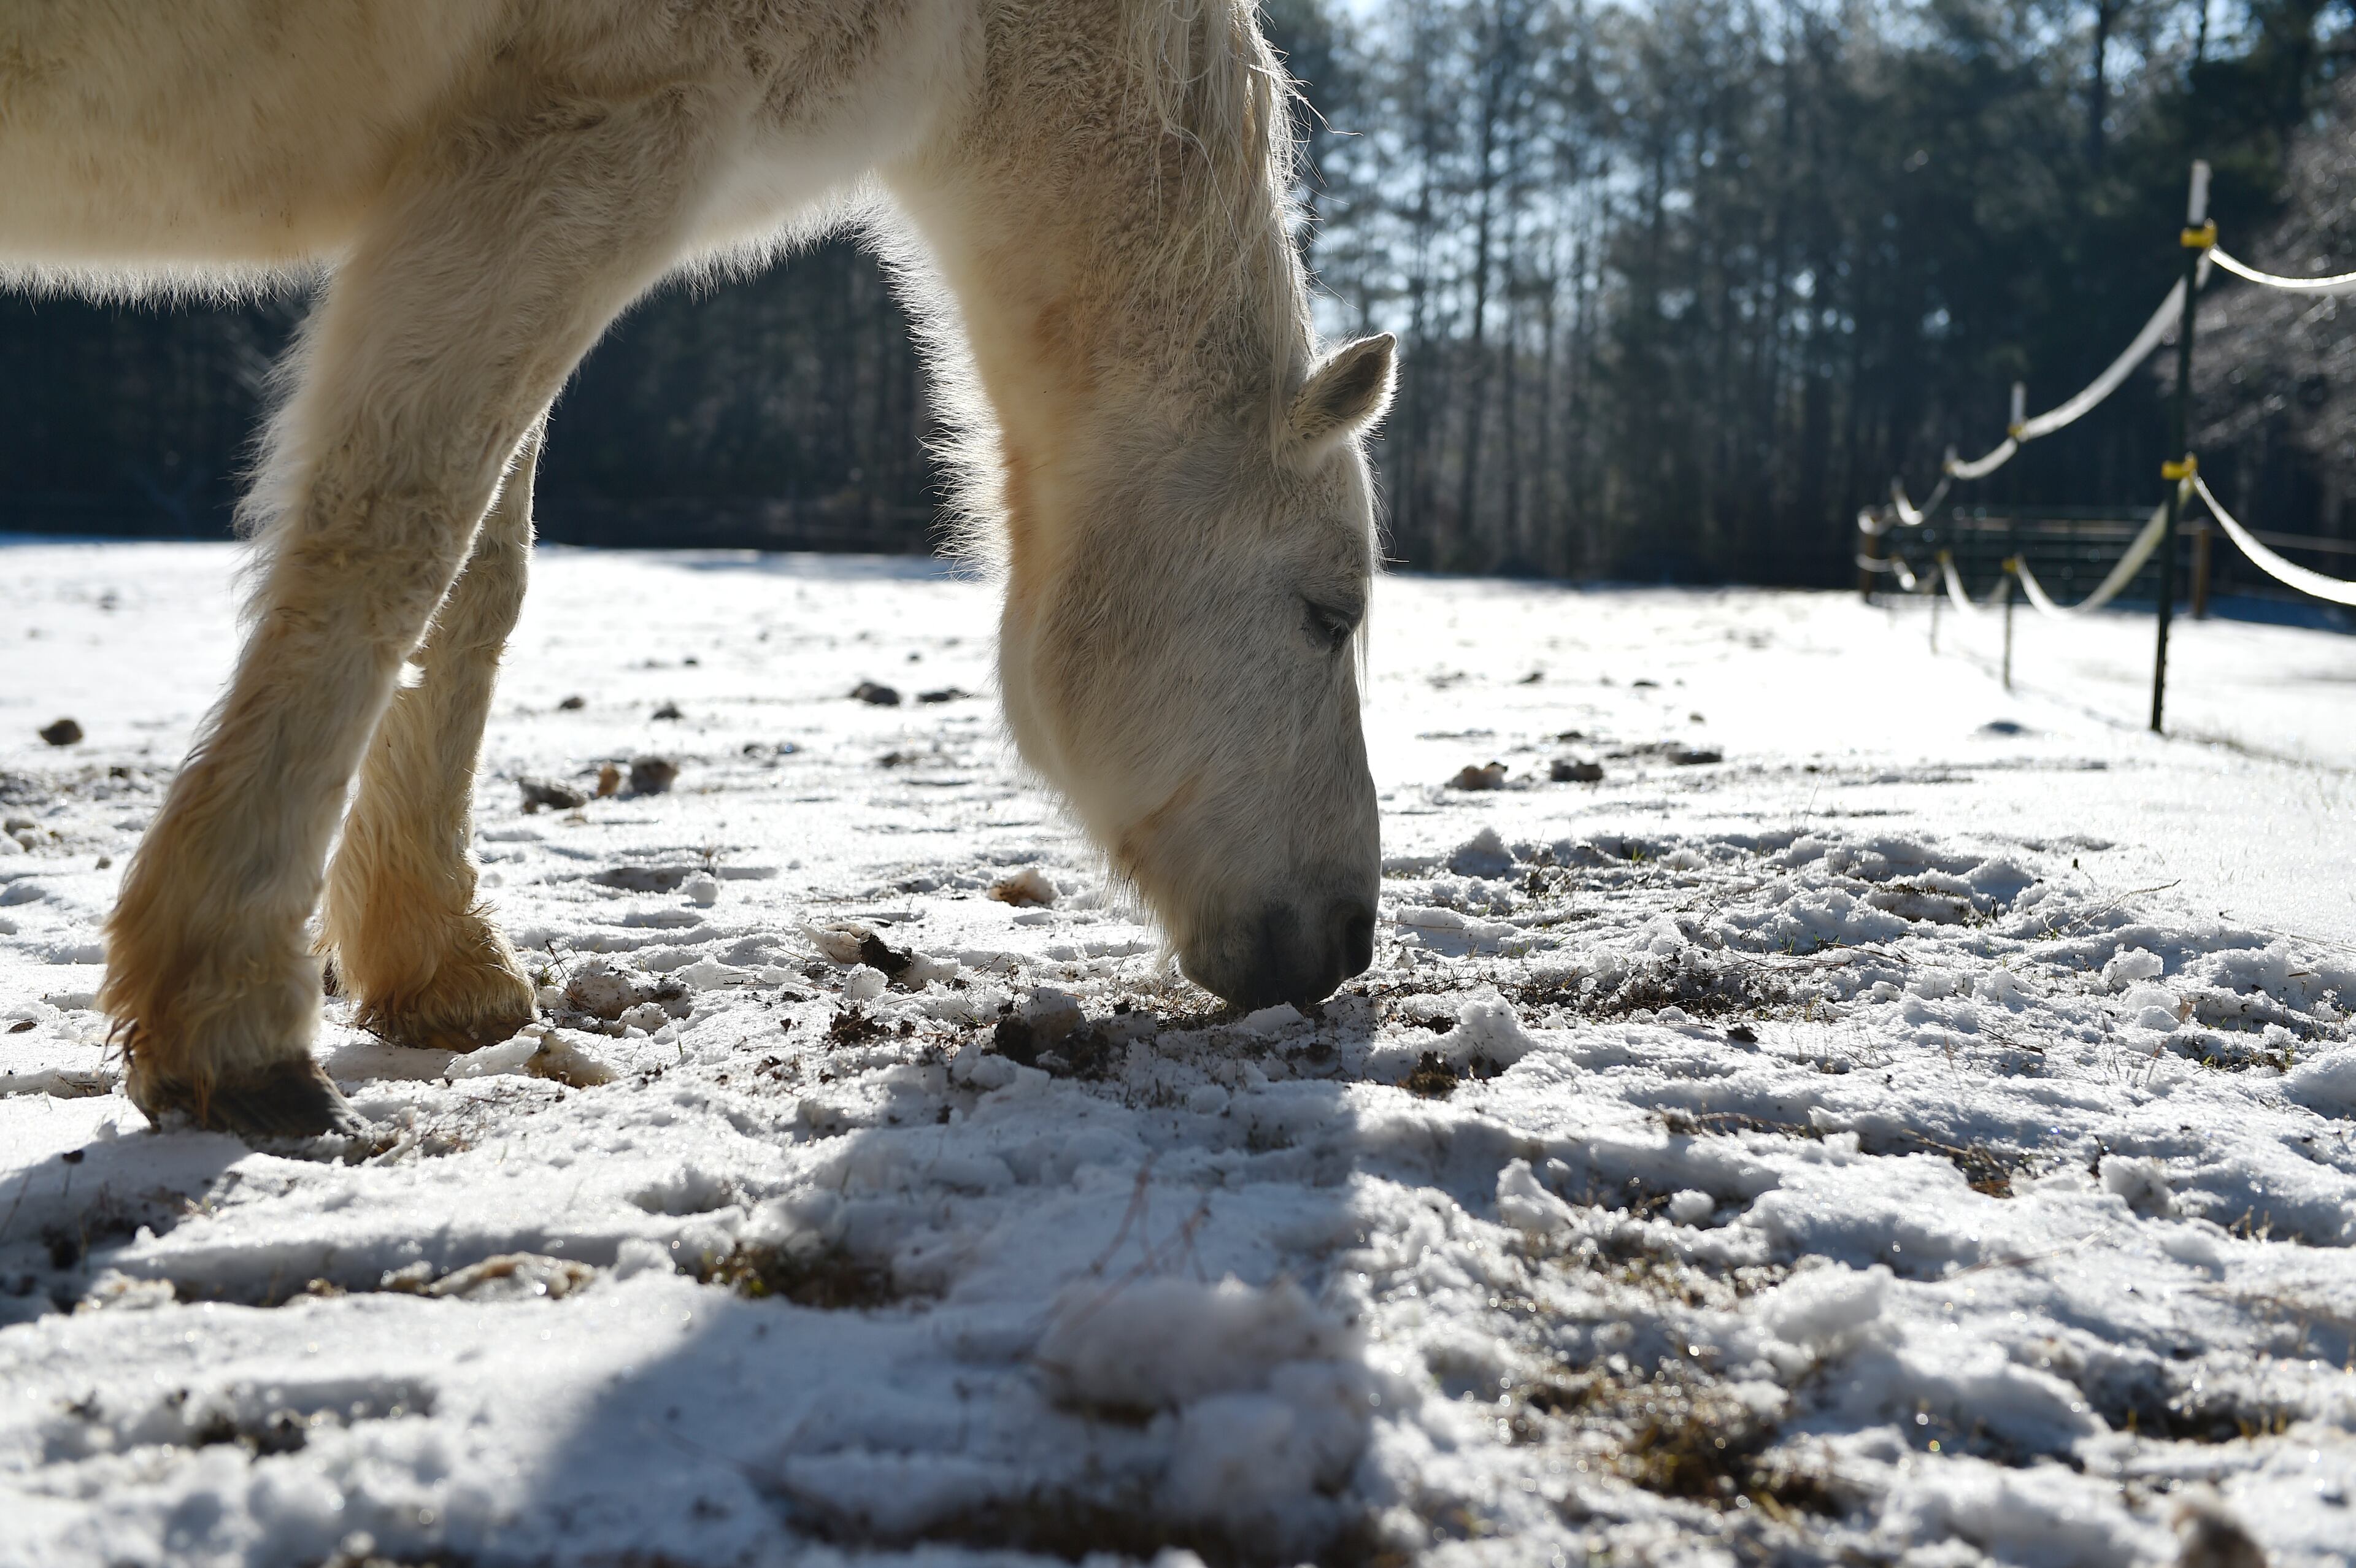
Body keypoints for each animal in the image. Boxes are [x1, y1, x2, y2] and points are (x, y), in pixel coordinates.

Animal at [0, 1, 1394, 1138]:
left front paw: (434, 960)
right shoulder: (580, 145)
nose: (1349, 936)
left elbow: (478, 579)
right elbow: (396, 538)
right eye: (1331, 613)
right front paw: (230, 1017)